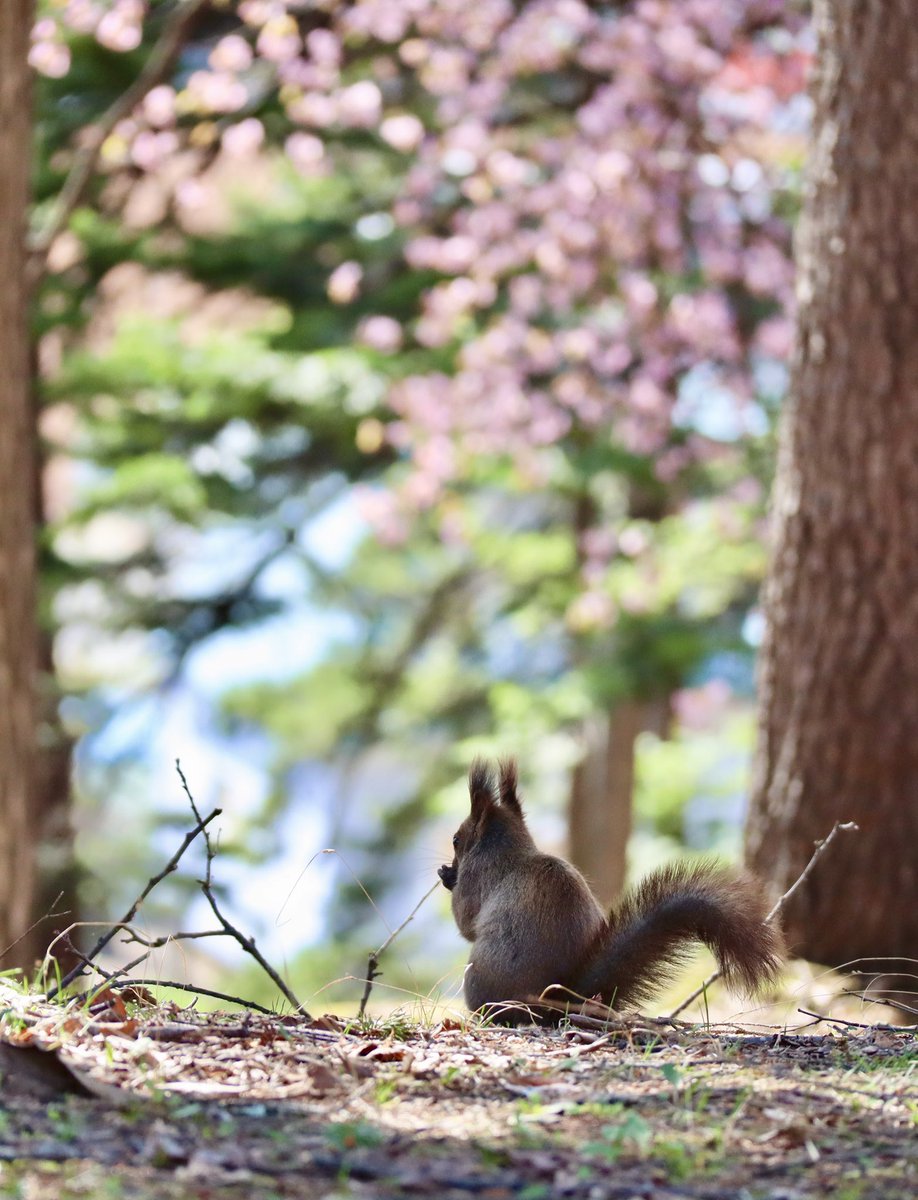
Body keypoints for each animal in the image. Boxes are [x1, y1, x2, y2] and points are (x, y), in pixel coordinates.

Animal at [436, 758, 782, 1012]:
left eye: (456, 839)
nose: (449, 866)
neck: (508, 847)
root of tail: (556, 1000)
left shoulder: (478, 877)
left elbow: (465, 921)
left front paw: (448, 878)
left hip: (477, 976)